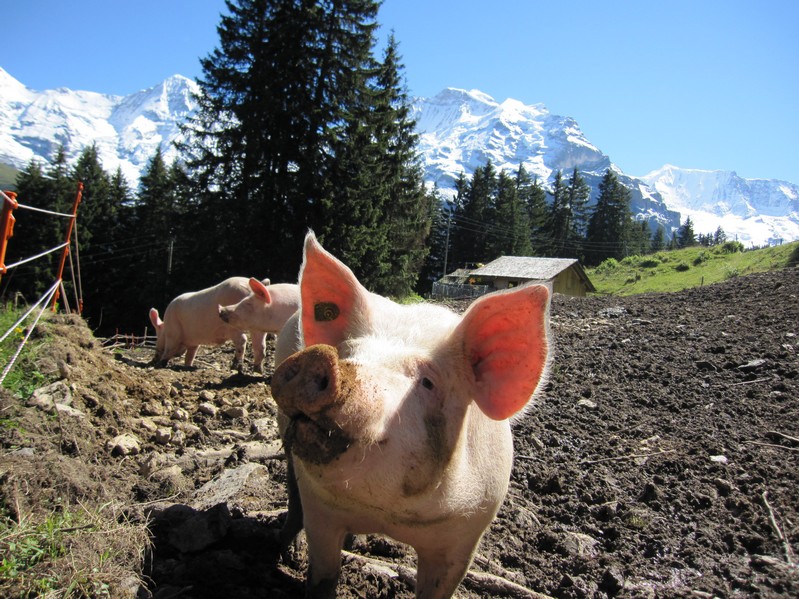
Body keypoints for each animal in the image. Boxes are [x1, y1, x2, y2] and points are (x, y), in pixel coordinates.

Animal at [268, 233, 552, 599]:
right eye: (348, 353)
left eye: (428, 382)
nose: (319, 357)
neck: (387, 514)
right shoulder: (320, 508)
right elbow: (323, 576)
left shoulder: (466, 533)